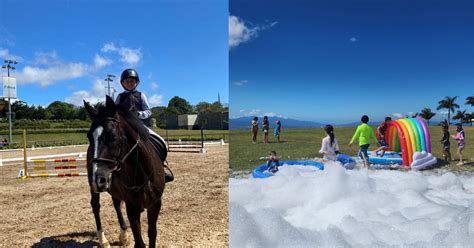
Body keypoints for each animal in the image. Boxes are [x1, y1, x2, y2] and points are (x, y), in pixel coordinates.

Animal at [84, 96, 166, 247]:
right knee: (96, 206)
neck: (142, 175)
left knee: (116, 203)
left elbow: (152, 234)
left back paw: (123, 234)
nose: (98, 180)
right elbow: (139, 242)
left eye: (112, 136)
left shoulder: (155, 204)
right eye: (89, 137)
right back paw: (103, 240)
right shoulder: (132, 208)